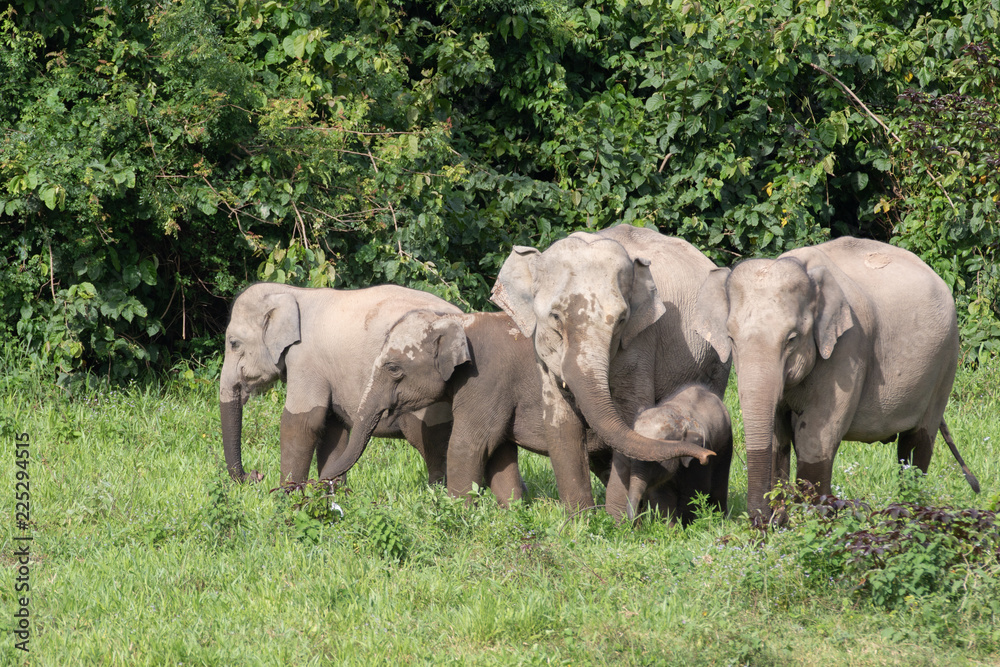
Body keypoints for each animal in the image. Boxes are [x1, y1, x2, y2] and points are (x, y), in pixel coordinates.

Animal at [219, 282, 461, 485]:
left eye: (233, 343)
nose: (256, 475)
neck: (293, 292)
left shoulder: (306, 359)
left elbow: (302, 422)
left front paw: (286, 501)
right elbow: (332, 428)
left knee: (429, 440)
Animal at [322, 309, 715, 507]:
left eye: (392, 368)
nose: (328, 490)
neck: (457, 320)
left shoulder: (486, 378)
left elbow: (470, 443)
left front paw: (455, 513)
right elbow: (499, 451)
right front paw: (511, 512)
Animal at [490, 223, 731, 511]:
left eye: (622, 320)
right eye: (555, 317)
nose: (706, 455)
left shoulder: (640, 341)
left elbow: (628, 418)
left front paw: (616, 518)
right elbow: (562, 423)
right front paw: (580, 518)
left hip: (716, 360)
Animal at [613, 384, 733, 524]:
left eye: (657, 461)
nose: (706, 457)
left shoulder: (700, 453)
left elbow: (695, 491)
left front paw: (685, 526)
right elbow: (662, 495)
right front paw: (671, 527)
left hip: (726, 442)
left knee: (719, 485)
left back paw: (721, 520)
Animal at [695, 236, 981, 522]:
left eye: (792, 339)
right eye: (731, 338)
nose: (760, 519)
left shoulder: (848, 348)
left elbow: (816, 436)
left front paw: (811, 516)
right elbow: (778, 437)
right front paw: (782, 518)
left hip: (945, 362)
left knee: (916, 443)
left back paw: (910, 509)